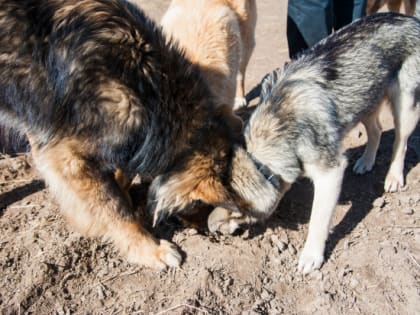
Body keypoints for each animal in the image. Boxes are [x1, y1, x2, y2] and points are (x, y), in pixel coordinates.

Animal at [0, 0, 249, 270]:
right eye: (198, 203)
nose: (209, 232)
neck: (149, 88)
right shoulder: (67, 158)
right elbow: (114, 208)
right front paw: (149, 249)